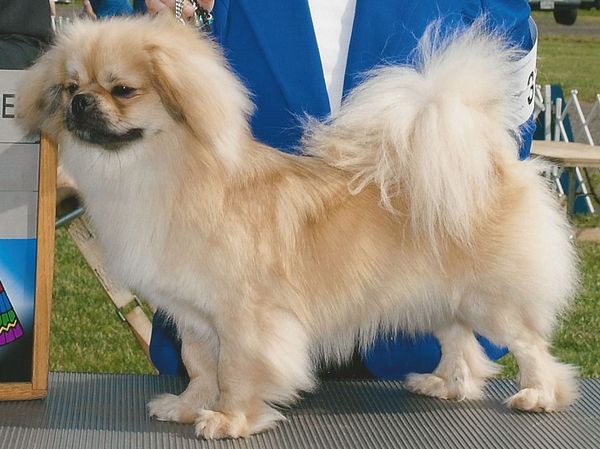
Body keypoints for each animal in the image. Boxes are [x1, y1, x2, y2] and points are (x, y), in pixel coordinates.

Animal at [17, 14, 579, 439]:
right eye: (69, 87)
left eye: (122, 90)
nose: (81, 102)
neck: (161, 172)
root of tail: (493, 165)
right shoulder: (193, 316)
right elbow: (201, 366)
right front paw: (188, 406)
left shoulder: (245, 317)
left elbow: (236, 371)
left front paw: (229, 419)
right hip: (442, 299)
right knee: (459, 343)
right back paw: (445, 384)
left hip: (490, 302)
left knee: (529, 345)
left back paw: (538, 394)